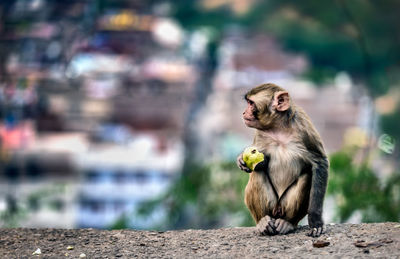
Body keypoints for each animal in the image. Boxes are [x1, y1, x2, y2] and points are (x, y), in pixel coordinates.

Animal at [238, 83, 328, 238]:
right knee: (257, 172)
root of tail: (277, 212)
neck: (278, 128)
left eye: (251, 103)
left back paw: (287, 223)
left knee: (308, 176)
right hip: (271, 206)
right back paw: (263, 221)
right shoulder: (260, 134)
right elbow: (261, 162)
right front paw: (241, 161)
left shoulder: (304, 126)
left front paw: (315, 221)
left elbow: (319, 163)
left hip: (285, 206)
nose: (244, 112)